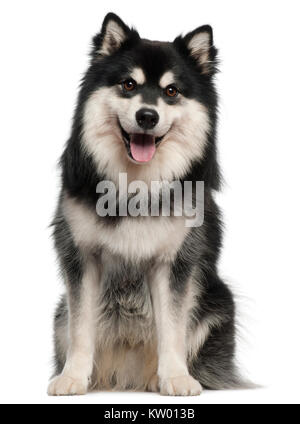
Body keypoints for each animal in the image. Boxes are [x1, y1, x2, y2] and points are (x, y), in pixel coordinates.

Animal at [47, 13, 244, 398]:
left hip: (219, 301)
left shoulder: (173, 263)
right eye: (128, 84)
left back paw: (156, 378)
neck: (136, 183)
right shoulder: (82, 258)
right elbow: (81, 328)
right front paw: (72, 377)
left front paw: (176, 378)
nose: (147, 116)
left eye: (171, 91)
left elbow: (172, 328)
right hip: (59, 312)